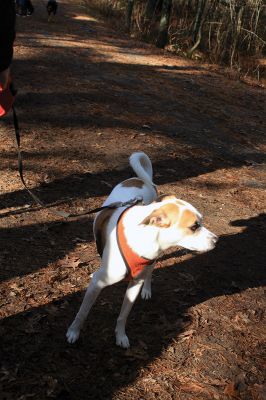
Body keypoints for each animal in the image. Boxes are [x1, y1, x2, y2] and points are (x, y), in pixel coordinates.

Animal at [66, 152, 216, 348]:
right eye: (194, 227)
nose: (216, 240)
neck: (142, 237)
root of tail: (142, 180)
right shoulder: (98, 283)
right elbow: (82, 312)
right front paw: (74, 331)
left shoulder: (135, 283)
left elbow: (123, 315)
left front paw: (120, 335)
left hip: (152, 262)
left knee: (150, 272)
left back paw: (147, 289)